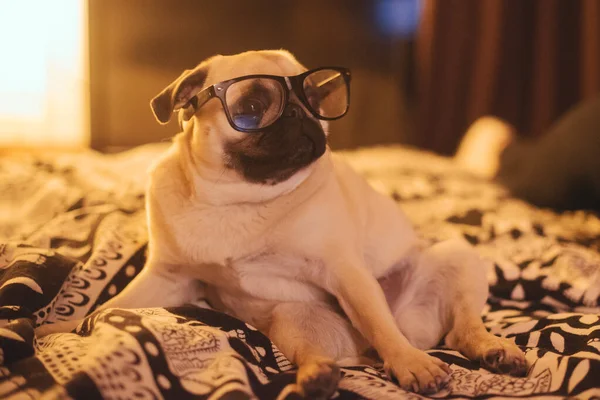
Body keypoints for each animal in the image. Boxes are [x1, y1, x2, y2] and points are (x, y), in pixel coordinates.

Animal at [36, 49, 524, 396]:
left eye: (317, 101)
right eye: (252, 107)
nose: (299, 113)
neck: (234, 200)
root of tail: (360, 354)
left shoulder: (347, 273)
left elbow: (379, 320)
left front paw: (409, 365)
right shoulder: (167, 278)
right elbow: (110, 307)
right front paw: (61, 330)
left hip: (456, 257)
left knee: (458, 326)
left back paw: (493, 350)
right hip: (294, 319)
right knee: (318, 355)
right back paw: (313, 381)